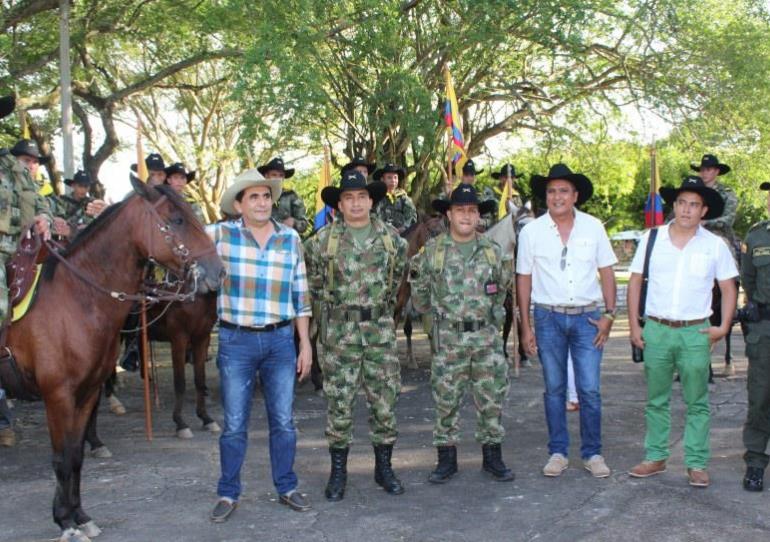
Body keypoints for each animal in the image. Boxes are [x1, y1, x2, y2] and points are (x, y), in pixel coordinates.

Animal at [0, 180, 224, 542]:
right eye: (176, 219)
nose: (218, 272)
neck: (75, 300)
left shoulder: (87, 391)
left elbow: (75, 456)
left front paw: (79, 516)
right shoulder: (58, 395)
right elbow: (61, 458)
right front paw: (66, 522)